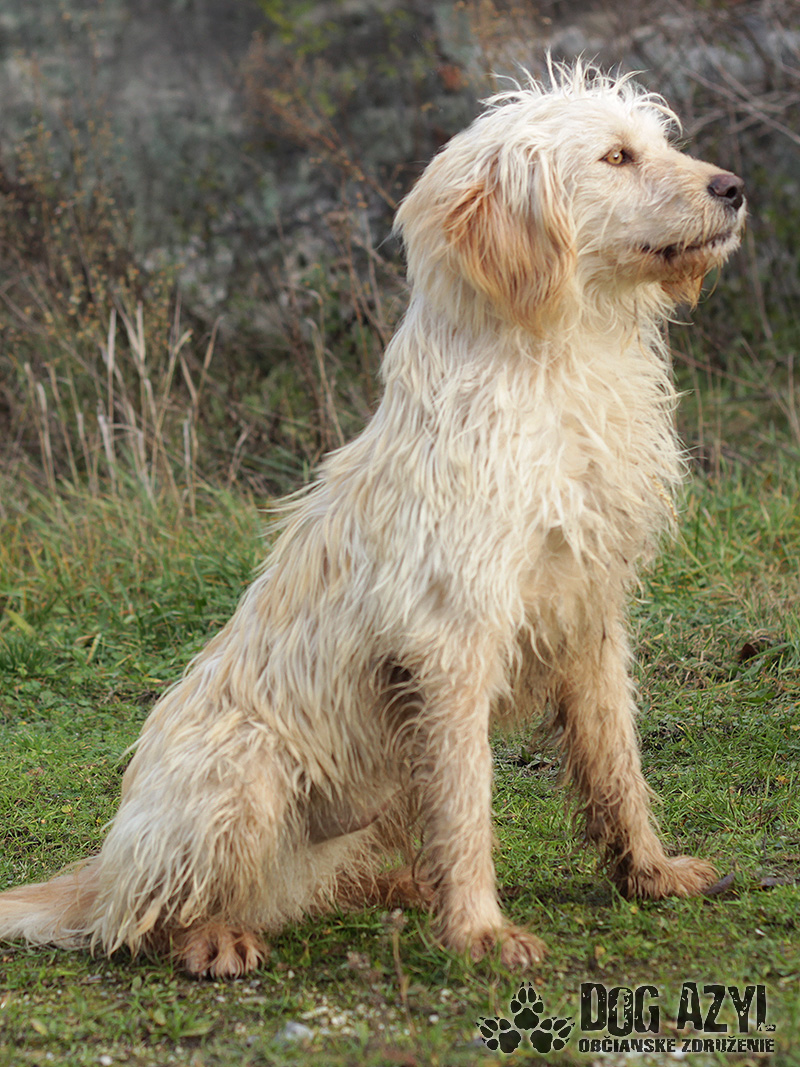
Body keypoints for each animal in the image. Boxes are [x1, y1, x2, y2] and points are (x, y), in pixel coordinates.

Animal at [0, 63, 745, 977]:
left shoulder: (590, 616)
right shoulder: (453, 638)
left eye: (656, 142)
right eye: (616, 156)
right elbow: (469, 804)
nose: (734, 188)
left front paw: (650, 871)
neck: (556, 362)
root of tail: (102, 872)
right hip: (242, 768)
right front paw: (481, 931)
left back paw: (398, 888)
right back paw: (214, 936)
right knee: (149, 919)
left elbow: (616, 765)